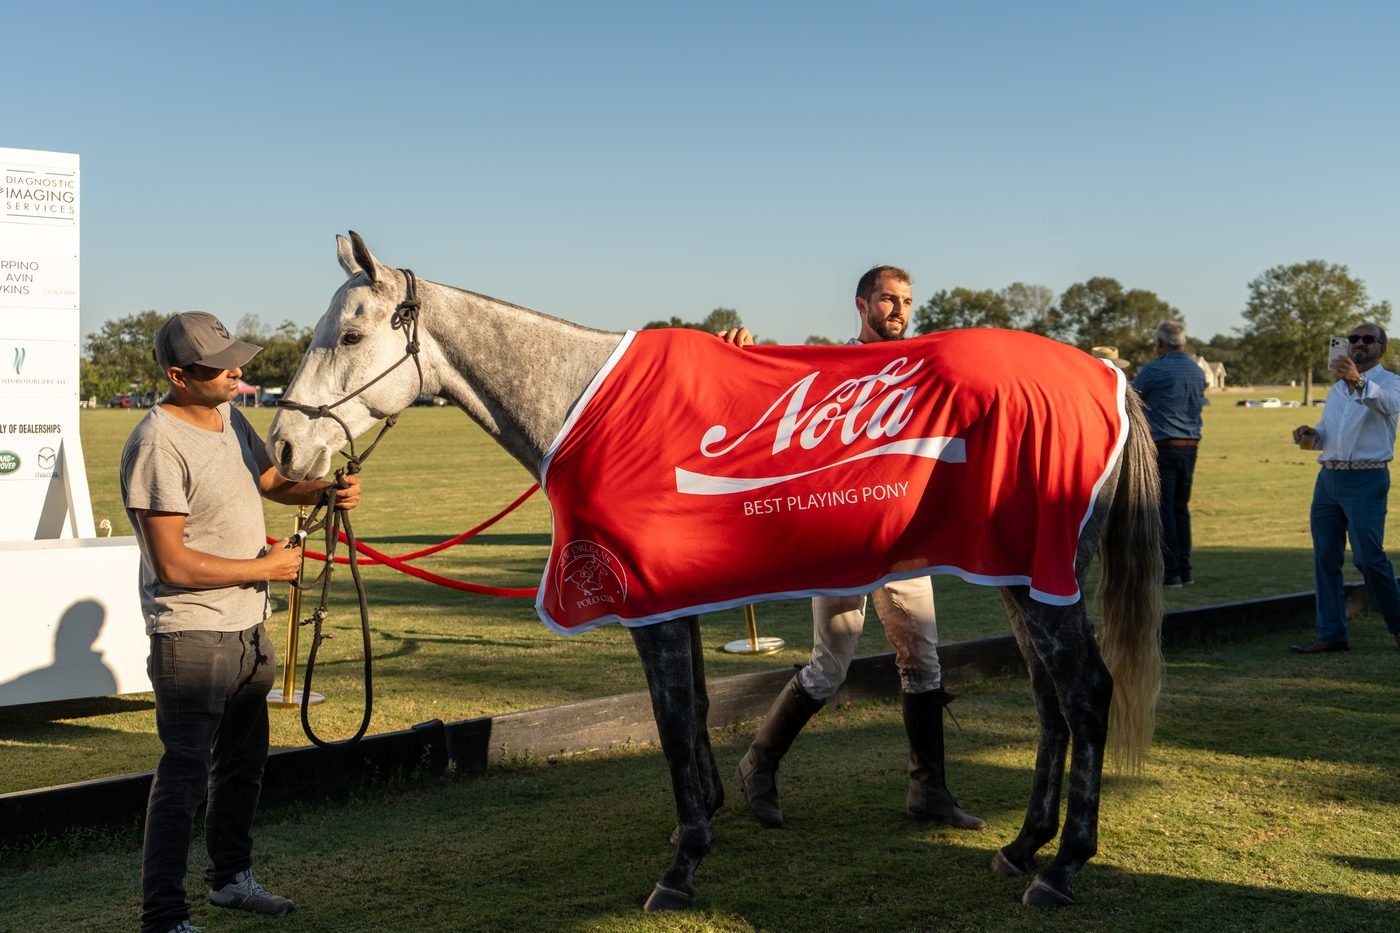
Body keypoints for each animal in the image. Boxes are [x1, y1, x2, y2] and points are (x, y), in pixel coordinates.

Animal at [266, 231, 1164, 912]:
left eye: (350, 335)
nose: (282, 448)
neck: (582, 404)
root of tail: (1109, 376)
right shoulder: (675, 595)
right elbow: (695, 708)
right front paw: (705, 817)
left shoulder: (647, 601)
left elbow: (671, 723)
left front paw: (683, 861)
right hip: (1020, 573)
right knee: (1051, 701)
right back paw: (1023, 844)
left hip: (1045, 577)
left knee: (1086, 693)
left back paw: (1062, 865)